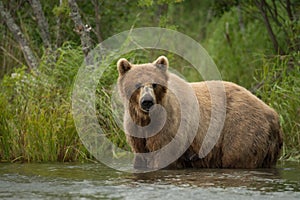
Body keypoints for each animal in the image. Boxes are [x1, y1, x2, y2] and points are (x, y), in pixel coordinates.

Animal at [116, 55, 282, 170]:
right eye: (137, 84)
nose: (147, 101)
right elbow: (140, 154)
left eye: (155, 84)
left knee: (238, 156)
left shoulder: (171, 127)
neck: (147, 118)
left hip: (242, 129)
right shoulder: (136, 131)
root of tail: (273, 114)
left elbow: (165, 155)